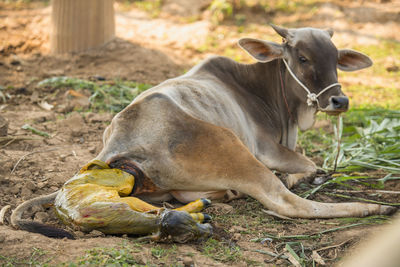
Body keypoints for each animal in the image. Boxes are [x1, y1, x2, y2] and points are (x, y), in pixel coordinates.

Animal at [8, 24, 394, 240]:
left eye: (336, 59)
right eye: (301, 58)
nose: (339, 101)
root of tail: (118, 141)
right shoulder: (268, 149)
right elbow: (310, 165)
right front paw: (302, 176)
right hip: (233, 147)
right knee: (286, 203)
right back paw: (372, 208)